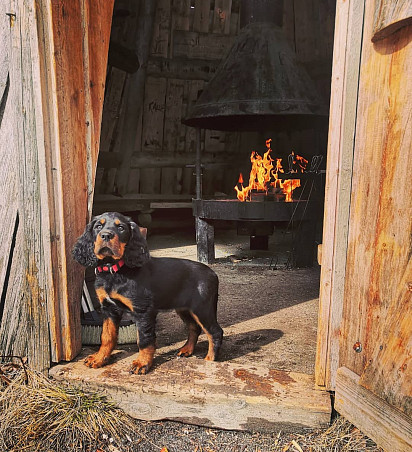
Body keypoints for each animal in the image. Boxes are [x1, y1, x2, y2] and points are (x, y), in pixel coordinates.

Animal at [72, 212, 224, 374]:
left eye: (121, 228)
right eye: (98, 226)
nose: (106, 235)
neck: (114, 270)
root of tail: (213, 273)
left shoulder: (143, 311)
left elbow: (144, 340)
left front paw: (142, 363)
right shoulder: (109, 309)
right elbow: (107, 336)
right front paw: (100, 358)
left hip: (202, 308)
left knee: (215, 332)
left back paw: (210, 360)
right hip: (184, 309)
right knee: (194, 327)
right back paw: (187, 350)